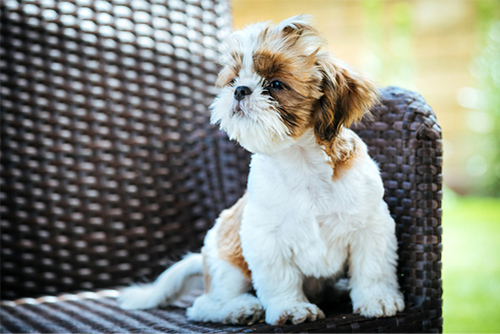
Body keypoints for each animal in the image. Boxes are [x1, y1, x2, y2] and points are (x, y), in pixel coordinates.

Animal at [119, 16, 404, 326]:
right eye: (233, 80)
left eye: (276, 84)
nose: (240, 90)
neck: (301, 161)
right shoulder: (265, 238)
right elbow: (279, 278)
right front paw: (292, 309)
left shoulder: (370, 225)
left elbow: (373, 268)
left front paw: (377, 299)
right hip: (228, 268)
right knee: (202, 305)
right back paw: (240, 309)